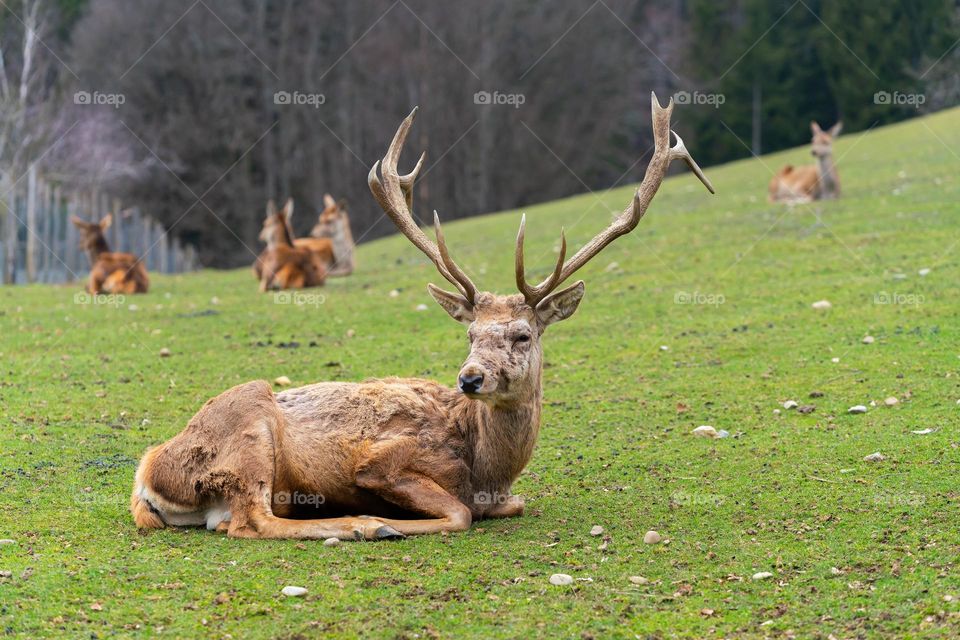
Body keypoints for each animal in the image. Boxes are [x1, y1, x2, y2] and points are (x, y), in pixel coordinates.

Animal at [130, 94, 713, 541]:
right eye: (470, 332)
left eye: (522, 334)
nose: (470, 377)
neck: (486, 466)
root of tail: (147, 473)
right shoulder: (382, 461)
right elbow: (458, 512)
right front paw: (388, 519)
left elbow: (513, 503)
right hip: (250, 431)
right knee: (251, 521)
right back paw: (364, 525)